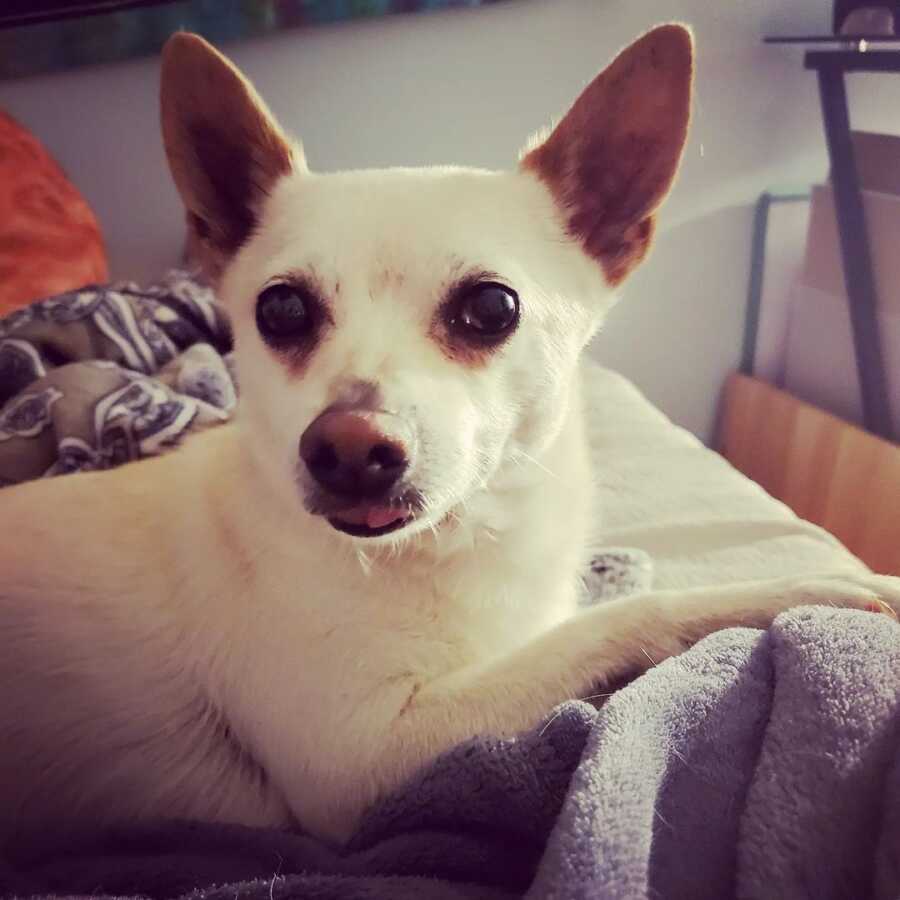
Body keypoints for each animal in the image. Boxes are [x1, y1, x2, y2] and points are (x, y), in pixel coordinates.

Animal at [1, 24, 900, 848]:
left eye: (492, 307)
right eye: (280, 310)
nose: (348, 449)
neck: (459, 541)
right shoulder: (363, 764)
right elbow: (618, 618)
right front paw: (802, 591)